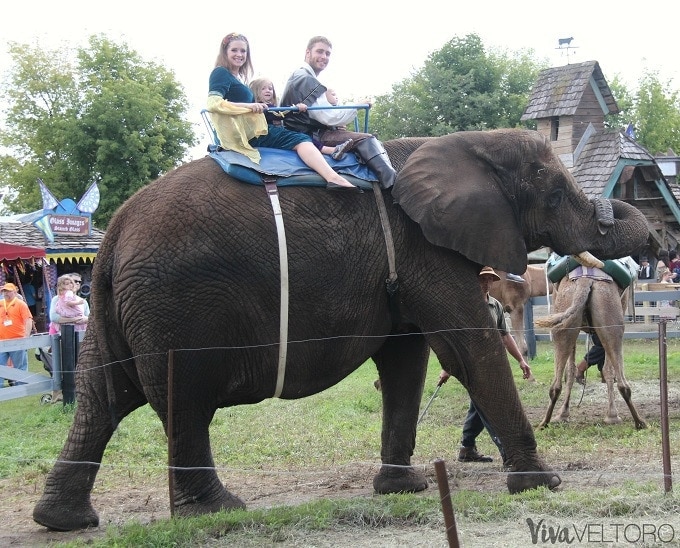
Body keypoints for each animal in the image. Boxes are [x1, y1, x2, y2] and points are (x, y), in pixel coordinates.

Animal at [532, 264, 644, 430]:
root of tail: (585, 281)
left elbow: (570, 371)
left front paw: (564, 414)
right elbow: (605, 368)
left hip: (565, 321)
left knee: (556, 384)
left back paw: (545, 422)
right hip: (610, 318)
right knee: (617, 377)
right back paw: (629, 420)